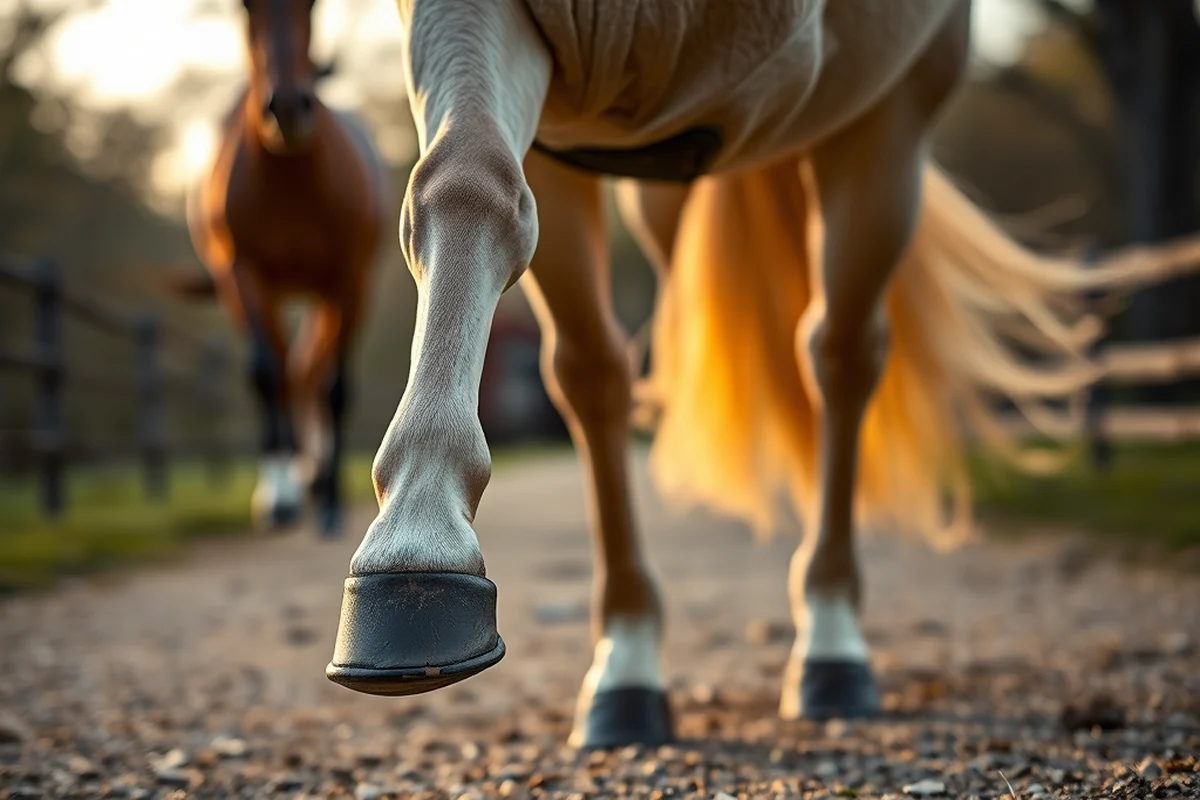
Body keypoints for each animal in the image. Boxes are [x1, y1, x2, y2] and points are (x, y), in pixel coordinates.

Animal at [176, 0, 388, 537]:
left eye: (312, 5)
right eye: (244, 7)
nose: (289, 109)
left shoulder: (346, 281)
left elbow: (335, 388)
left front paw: (330, 502)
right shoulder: (243, 276)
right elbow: (264, 373)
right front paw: (279, 499)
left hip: (332, 296)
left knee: (311, 372)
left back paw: (318, 483)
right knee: (291, 372)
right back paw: (294, 485)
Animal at [324, 0, 1200, 748]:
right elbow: (472, 190)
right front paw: (417, 545)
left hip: (884, 126)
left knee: (841, 354)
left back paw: (832, 646)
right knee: (611, 362)